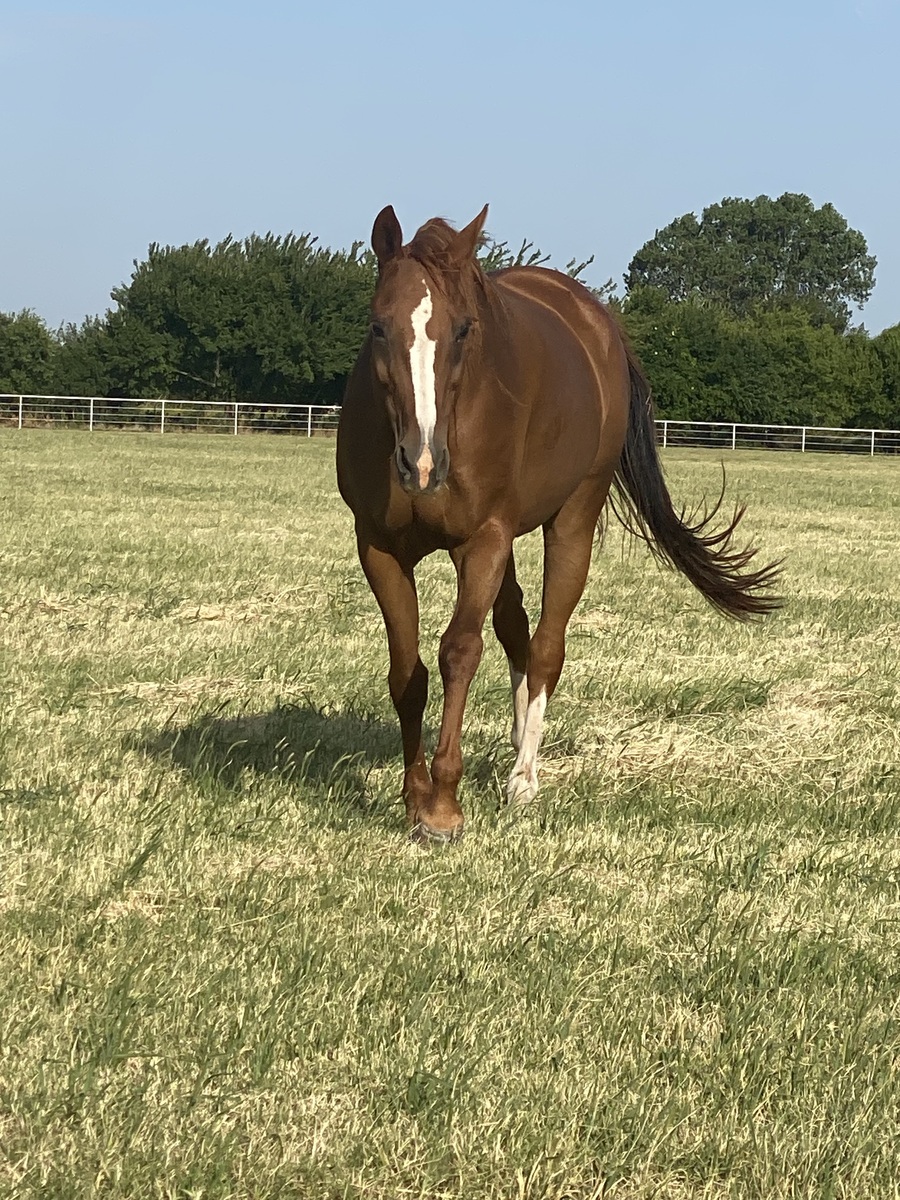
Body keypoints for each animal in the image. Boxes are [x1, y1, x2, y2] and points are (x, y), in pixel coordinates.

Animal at [336, 206, 780, 842]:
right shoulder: (379, 548)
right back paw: (519, 737)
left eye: (464, 329)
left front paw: (444, 805)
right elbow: (407, 670)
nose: (420, 463)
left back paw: (524, 776)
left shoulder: (484, 541)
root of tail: (595, 320)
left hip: (569, 521)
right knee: (517, 631)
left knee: (546, 644)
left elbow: (459, 652)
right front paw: (416, 798)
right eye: (378, 327)